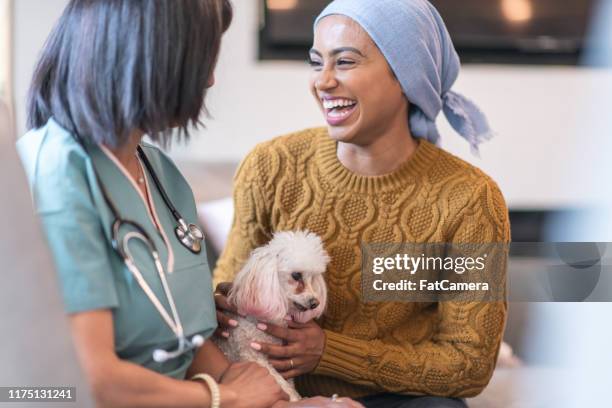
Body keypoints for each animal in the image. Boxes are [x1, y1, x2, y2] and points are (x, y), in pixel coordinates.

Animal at [215, 230, 330, 402]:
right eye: (296, 275)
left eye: (313, 277)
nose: (315, 303)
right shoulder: (252, 356)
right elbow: (280, 384)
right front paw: (296, 399)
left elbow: (288, 384)